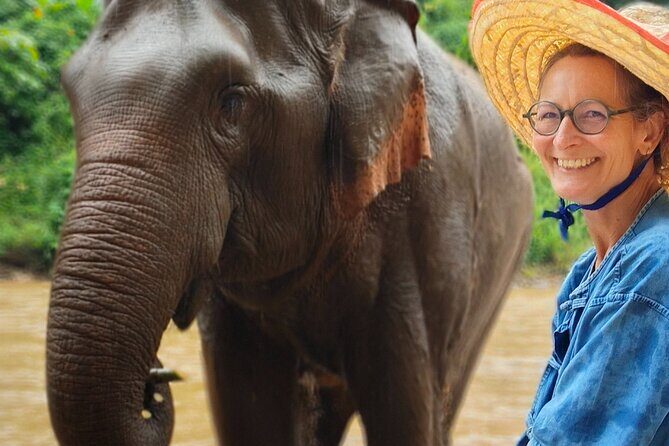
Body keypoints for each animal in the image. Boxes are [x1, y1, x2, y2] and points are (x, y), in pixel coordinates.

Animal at [45, 0, 533, 445]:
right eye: (69, 93)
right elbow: (251, 411)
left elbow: (404, 414)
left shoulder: (424, 221)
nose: (157, 381)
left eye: (232, 102)